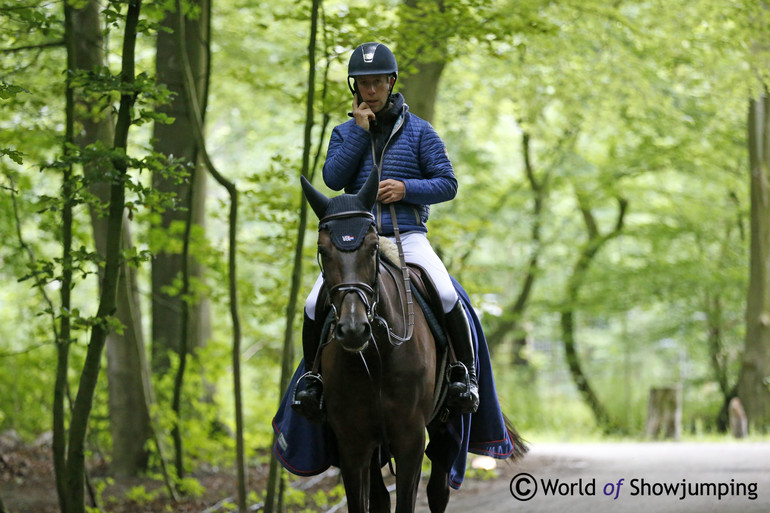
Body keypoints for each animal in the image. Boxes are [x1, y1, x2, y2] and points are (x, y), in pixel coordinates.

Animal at [296, 173, 520, 512]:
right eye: (323, 249)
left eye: (373, 246)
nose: (353, 329)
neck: (376, 356)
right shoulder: (352, 441)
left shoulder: (410, 439)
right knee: (380, 497)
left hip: (443, 426)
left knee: (438, 491)